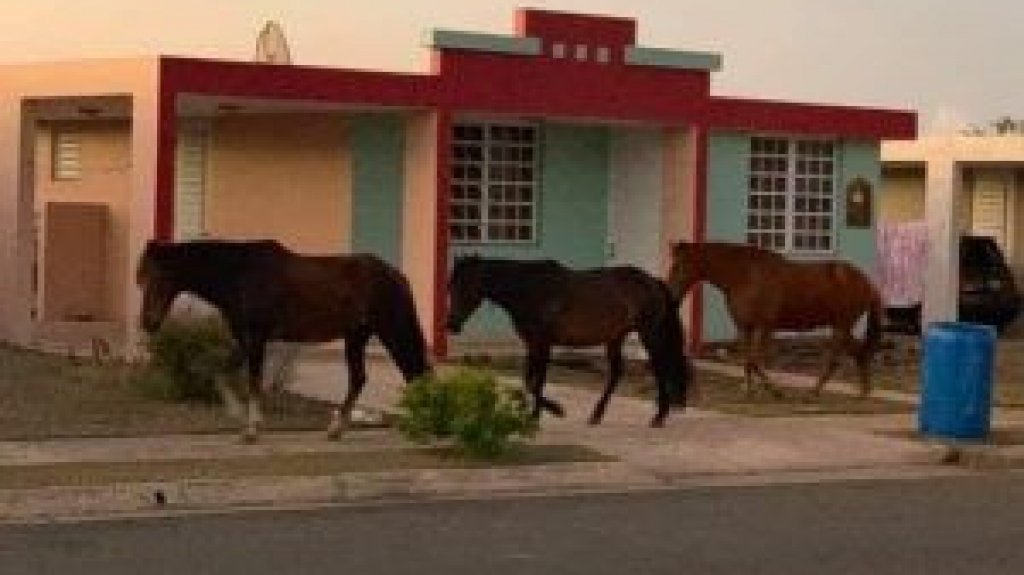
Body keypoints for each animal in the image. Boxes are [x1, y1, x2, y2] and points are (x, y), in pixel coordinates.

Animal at [136, 239, 431, 442]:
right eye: (141, 279)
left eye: (158, 276)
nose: (148, 323)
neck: (239, 274)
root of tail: (395, 274)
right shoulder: (244, 339)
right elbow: (219, 373)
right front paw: (239, 417)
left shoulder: (256, 337)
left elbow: (253, 381)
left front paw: (252, 429)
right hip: (356, 336)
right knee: (362, 378)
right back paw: (336, 430)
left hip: (391, 331)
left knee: (411, 371)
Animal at [445, 255, 691, 427]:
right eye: (450, 287)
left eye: (465, 287)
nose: (451, 325)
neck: (529, 289)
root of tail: (653, 281)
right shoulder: (531, 344)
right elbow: (529, 381)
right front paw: (537, 414)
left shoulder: (543, 343)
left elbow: (537, 381)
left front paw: (550, 412)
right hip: (616, 337)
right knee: (616, 374)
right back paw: (596, 415)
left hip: (648, 333)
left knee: (659, 368)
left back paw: (659, 417)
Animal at [666, 241, 883, 398]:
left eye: (678, 266)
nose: (671, 296)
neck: (744, 275)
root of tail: (868, 283)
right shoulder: (744, 328)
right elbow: (747, 360)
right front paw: (748, 390)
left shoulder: (763, 327)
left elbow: (755, 360)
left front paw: (774, 390)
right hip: (841, 326)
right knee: (859, 353)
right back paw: (863, 391)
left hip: (842, 326)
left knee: (835, 359)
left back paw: (814, 392)